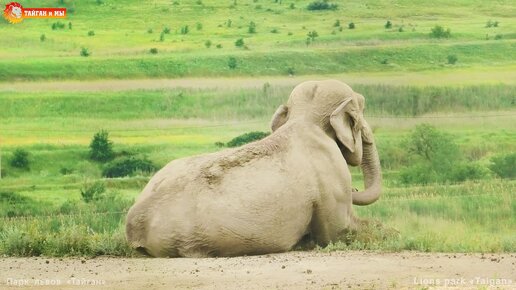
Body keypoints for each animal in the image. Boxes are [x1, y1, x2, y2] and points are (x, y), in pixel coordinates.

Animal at [126, 80, 380, 258]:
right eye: (362, 109)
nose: (355, 189)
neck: (305, 119)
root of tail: (134, 224)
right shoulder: (331, 173)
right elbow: (339, 233)